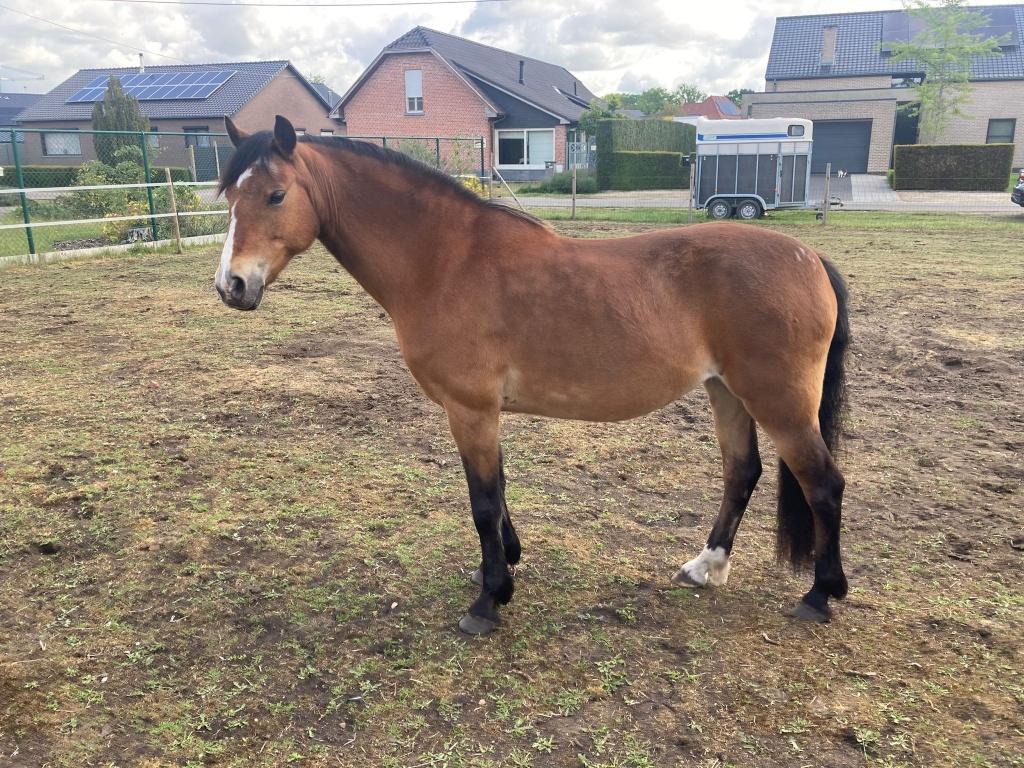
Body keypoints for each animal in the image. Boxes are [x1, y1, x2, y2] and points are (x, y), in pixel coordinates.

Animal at [213, 115, 852, 635]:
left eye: (275, 195)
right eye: (229, 197)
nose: (232, 286)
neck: (445, 261)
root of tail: (809, 258)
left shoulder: (470, 409)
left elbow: (483, 501)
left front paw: (488, 601)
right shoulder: (480, 412)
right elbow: (497, 491)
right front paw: (502, 567)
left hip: (779, 401)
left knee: (823, 483)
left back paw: (820, 595)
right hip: (727, 393)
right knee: (742, 473)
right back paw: (706, 567)